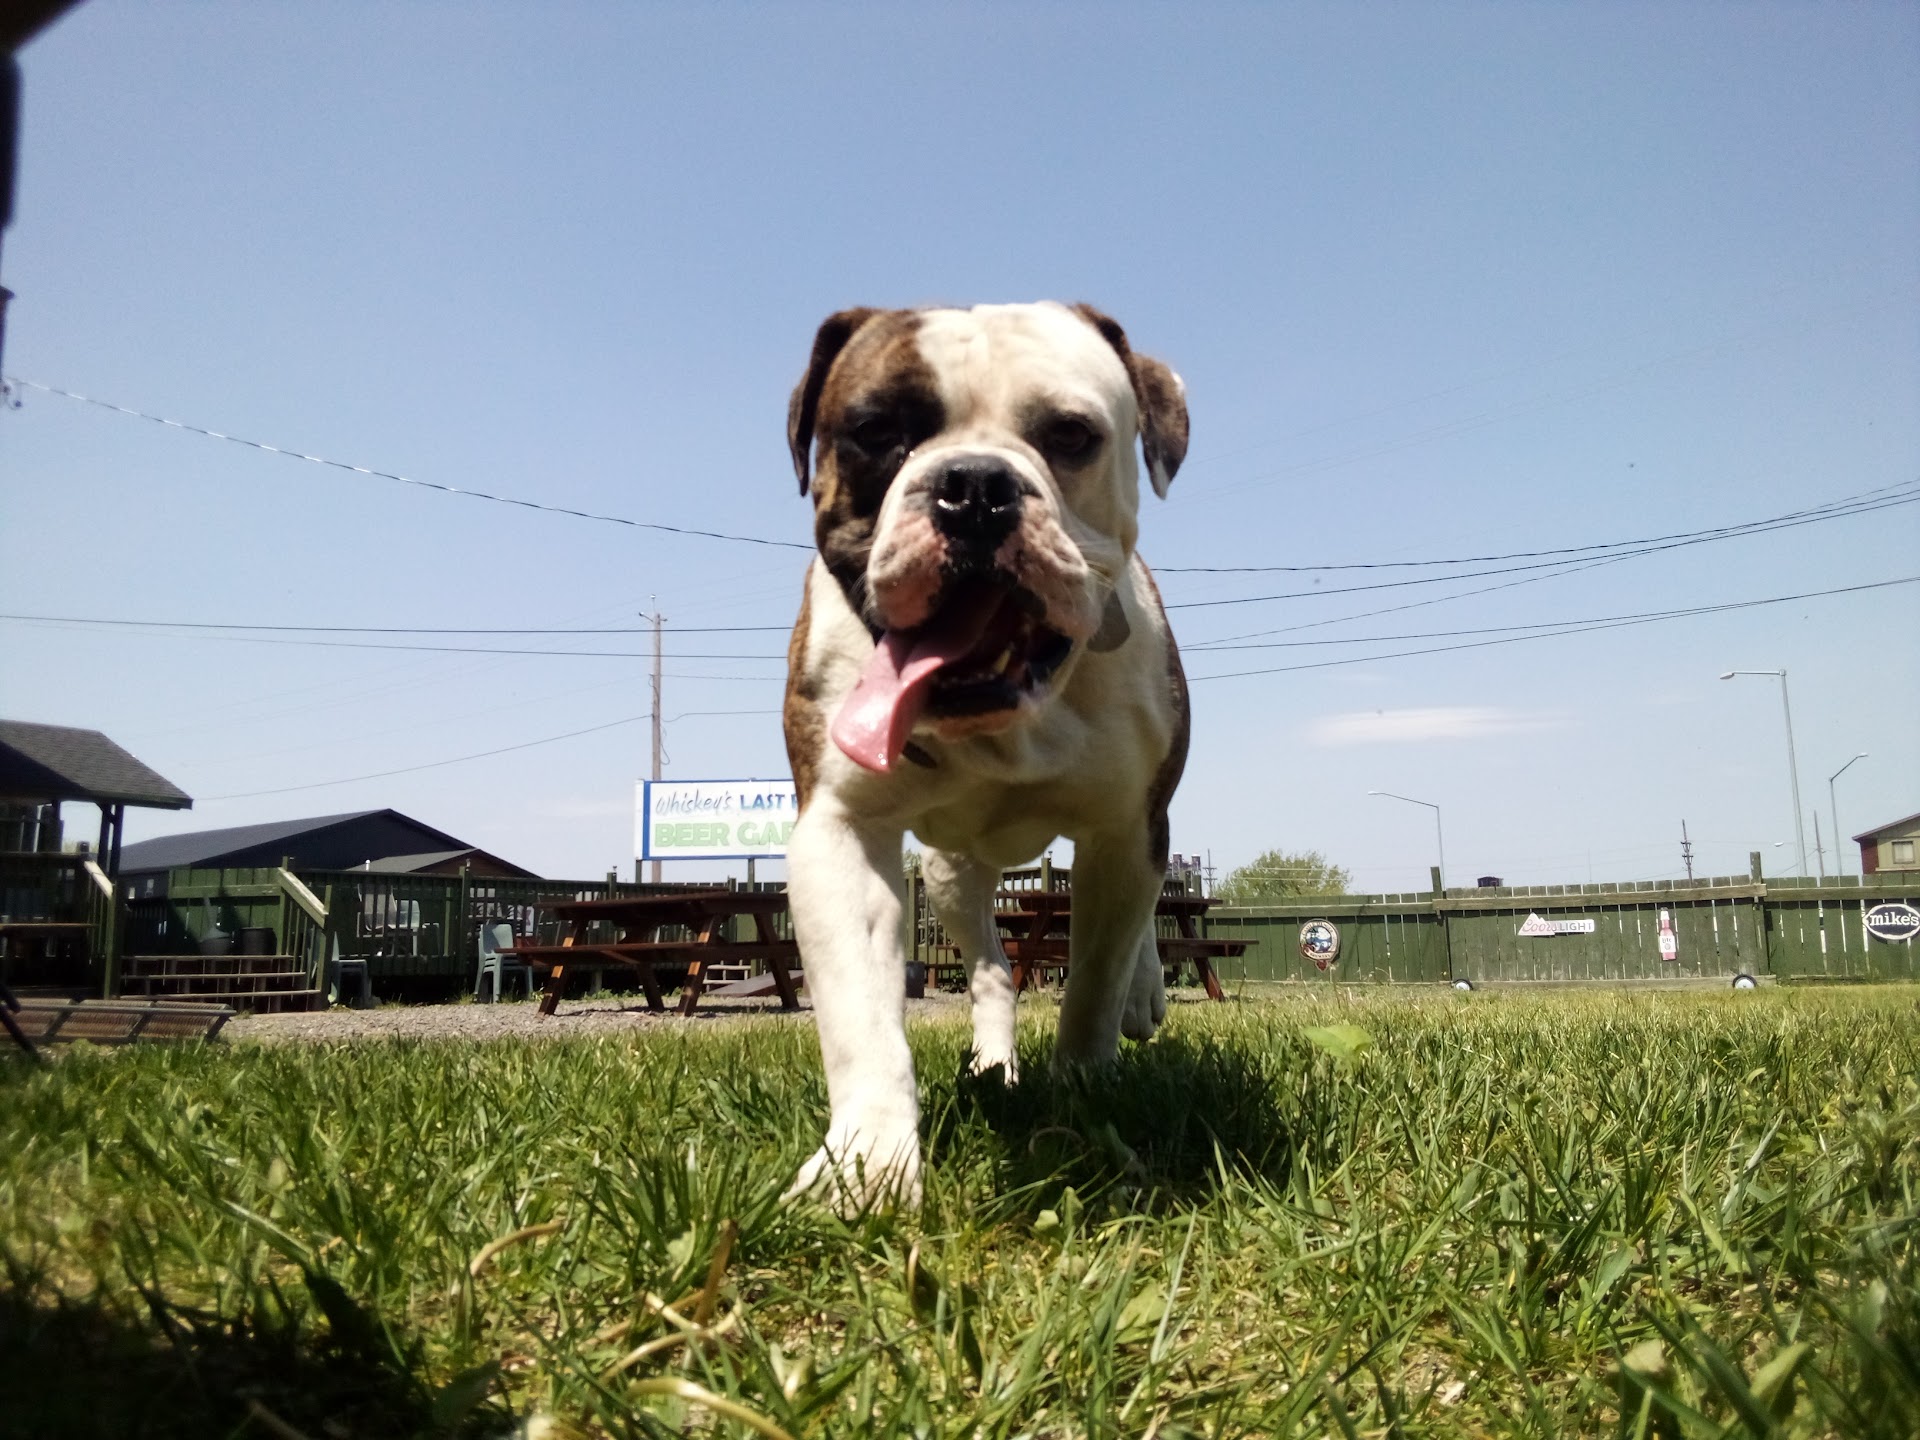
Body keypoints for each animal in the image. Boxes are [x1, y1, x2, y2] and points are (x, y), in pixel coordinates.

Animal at [781, 301, 1190, 1209]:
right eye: (876, 432)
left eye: (1071, 435)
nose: (974, 487)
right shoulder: (839, 833)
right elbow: (862, 1020)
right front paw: (865, 1163)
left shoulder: (1125, 832)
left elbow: (1093, 984)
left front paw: (1082, 1093)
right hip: (948, 874)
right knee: (994, 971)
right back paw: (993, 1065)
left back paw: (1143, 995)